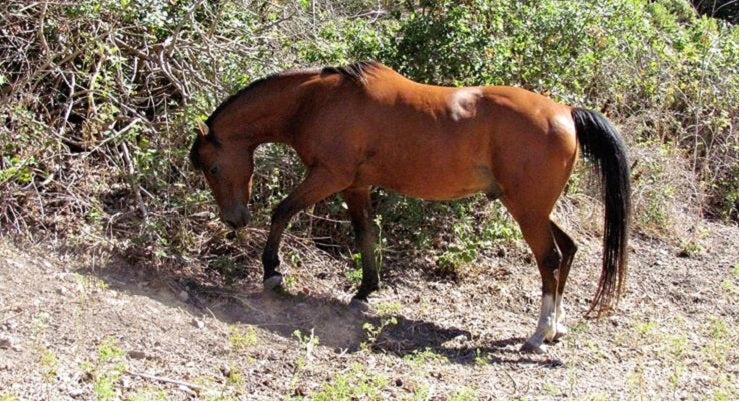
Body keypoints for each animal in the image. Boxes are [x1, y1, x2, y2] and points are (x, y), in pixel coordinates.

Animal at [191, 61, 632, 354]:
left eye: (213, 167)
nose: (234, 219)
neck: (317, 100)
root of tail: (566, 113)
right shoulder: (356, 184)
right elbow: (365, 234)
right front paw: (365, 290)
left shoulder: (329, 176)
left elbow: (283, 211)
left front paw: (272, 273)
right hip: (533, 208)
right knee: (569, 249)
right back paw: (556, 328)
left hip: (527, 210)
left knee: (551, 259)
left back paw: (538, 335)